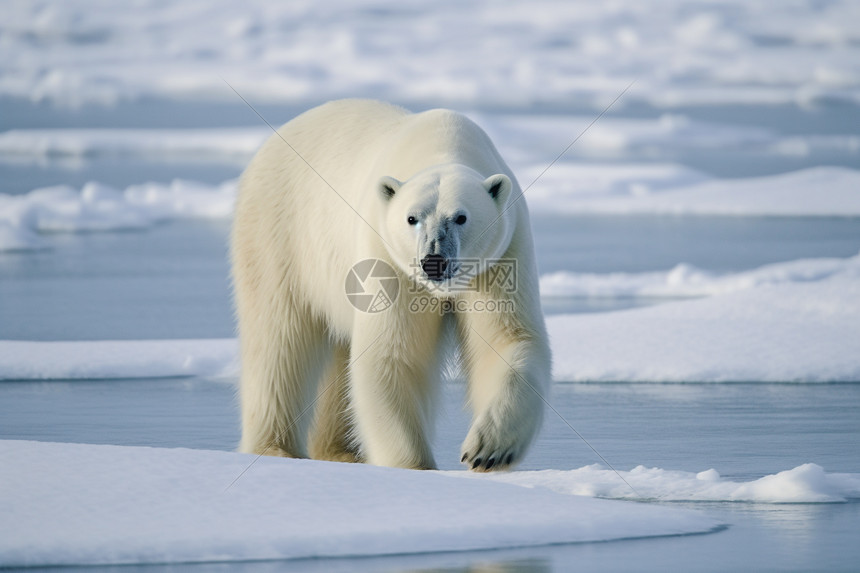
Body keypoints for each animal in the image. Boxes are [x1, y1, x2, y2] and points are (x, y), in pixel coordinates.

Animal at [230, 100, 552, 472]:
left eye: (461, 217)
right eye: (412, 218)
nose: (433, 261)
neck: (442, 145)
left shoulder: (502, 255)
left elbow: (506, 339)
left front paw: (487, 449)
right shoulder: (386, 255)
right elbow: (393, 353)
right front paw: (414, 467)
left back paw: (340, 451)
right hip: (278, 234)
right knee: (278, 343)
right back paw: (274, 449)